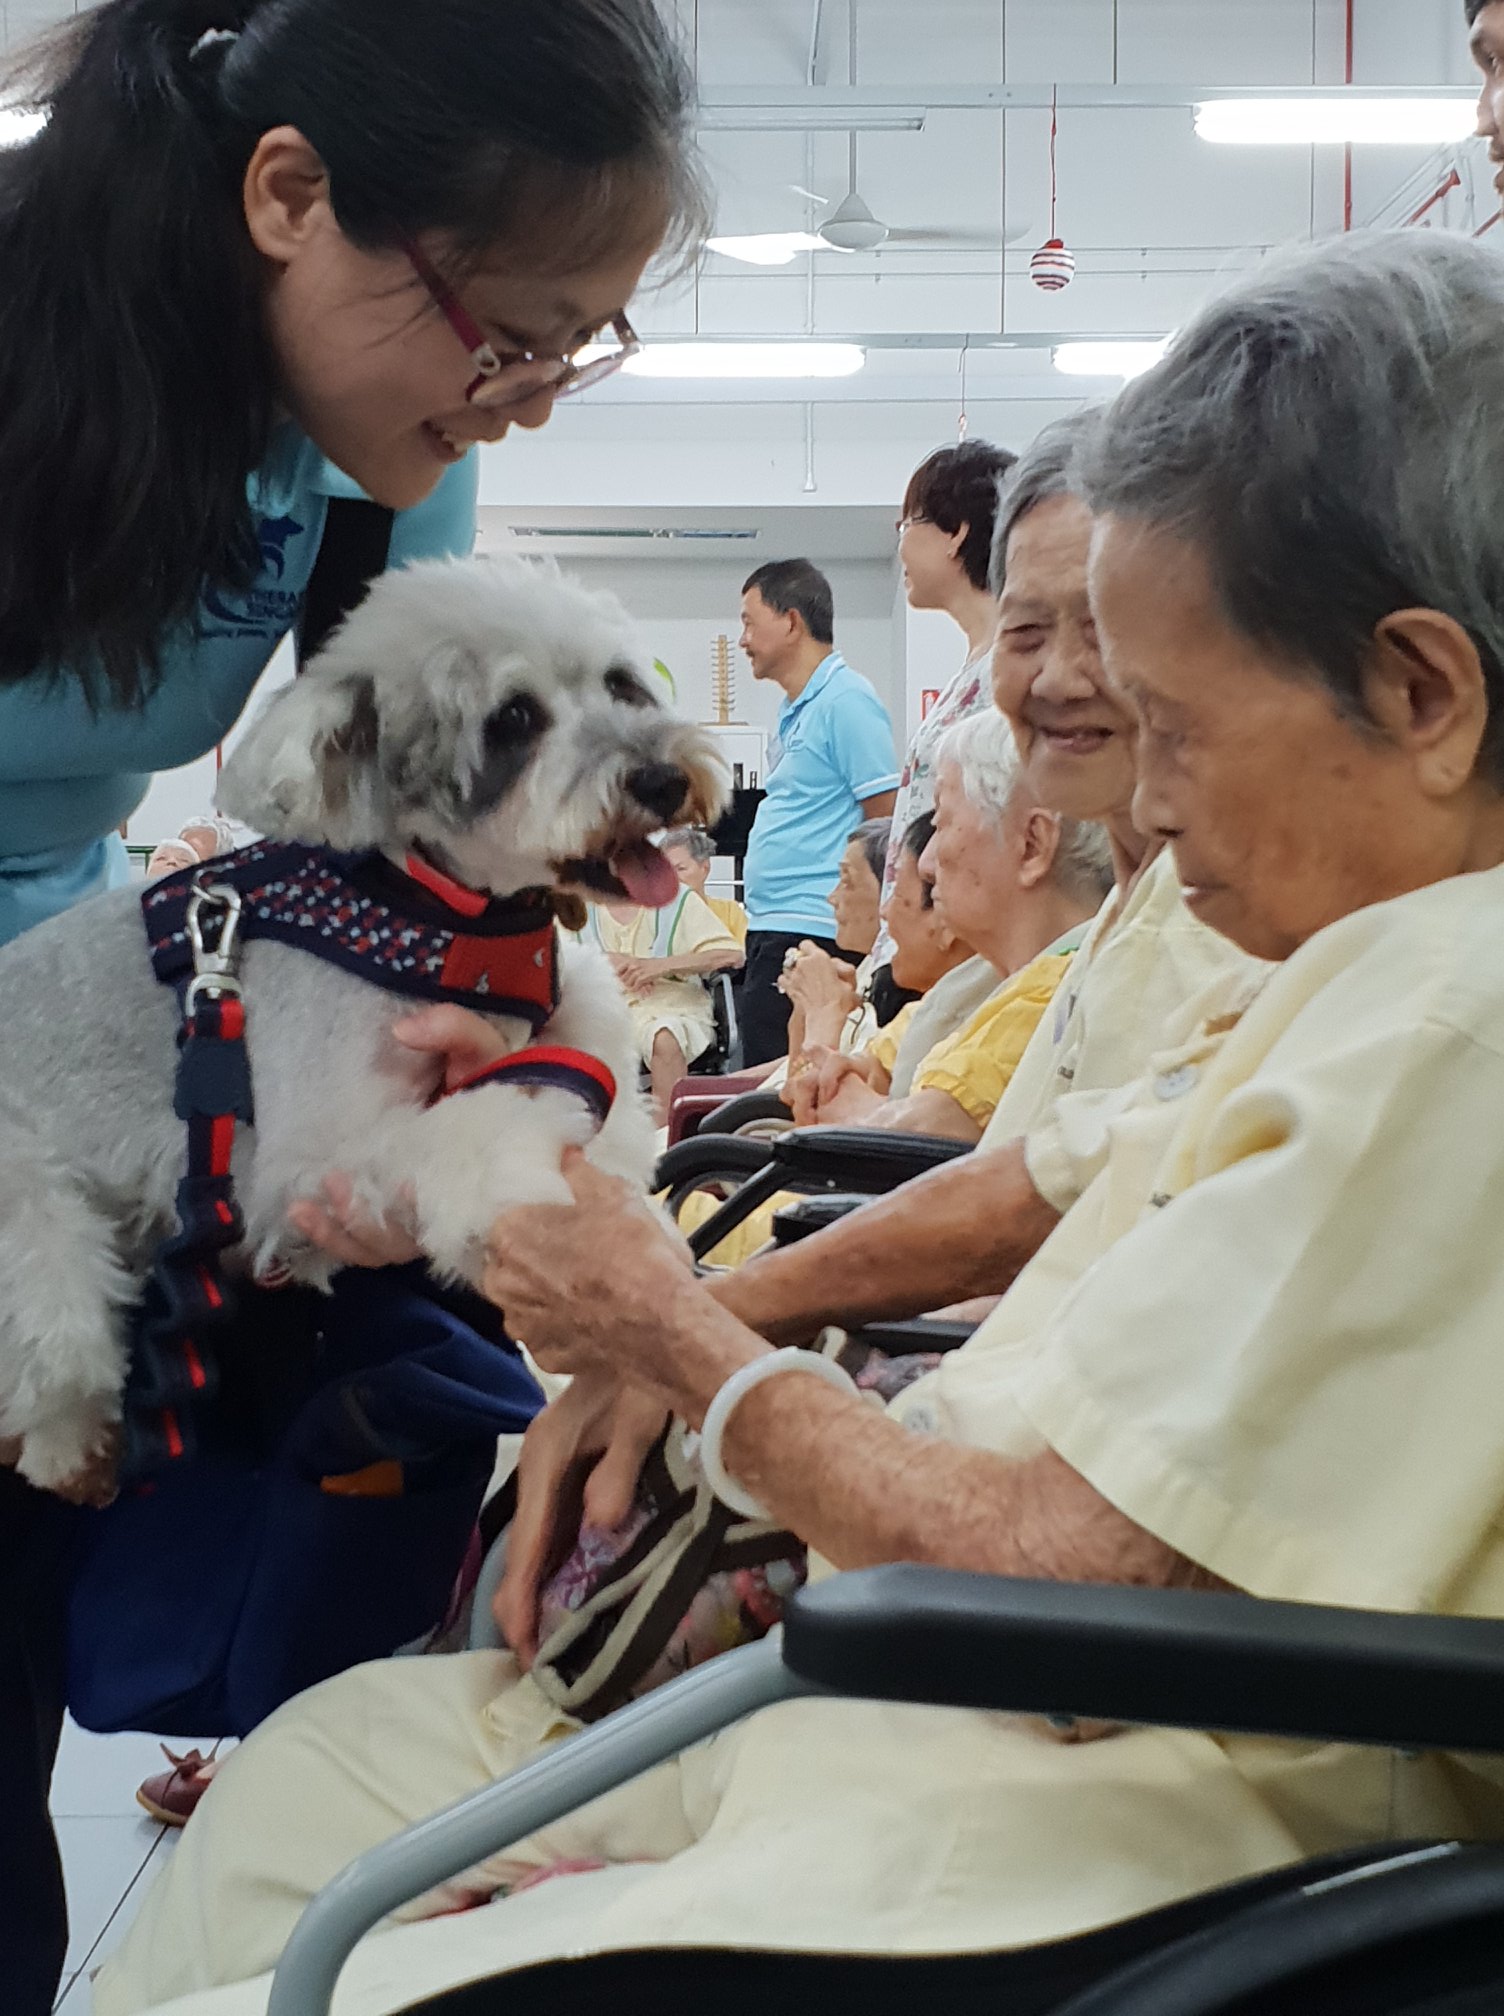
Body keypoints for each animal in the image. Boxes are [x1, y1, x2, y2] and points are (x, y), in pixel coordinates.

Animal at [0, 553, 727, 1496]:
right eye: (515, 718)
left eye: (622, 685)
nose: (661, 779)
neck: (448, 921)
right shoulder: (307, 1156)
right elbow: (470, 1131)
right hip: (34, 1225)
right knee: (58, 1351)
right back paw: (68, 1452)